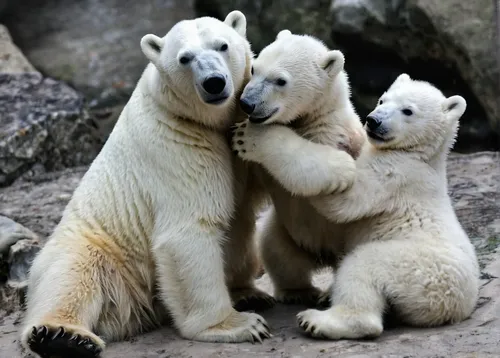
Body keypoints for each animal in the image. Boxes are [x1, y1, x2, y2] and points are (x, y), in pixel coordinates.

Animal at [20, 10, 270, 358]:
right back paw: (62, 337)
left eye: (222, 45)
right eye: (184, 58)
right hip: (99, 250)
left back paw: (250, 293)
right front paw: (237, 325)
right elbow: (188, 231)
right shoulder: (176, 143)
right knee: (72, 276)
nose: (214, 82)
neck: (208, 121)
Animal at [236, 75, 478, 338]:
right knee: (272, 241)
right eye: (383, 99)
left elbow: (345, 200)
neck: (422, 156)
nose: (373, 120)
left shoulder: (395, 173)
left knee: (363, 266)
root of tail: (453, 307)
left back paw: (319, 320)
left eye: (408, 111)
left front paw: (251, 137)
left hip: (418, 268)